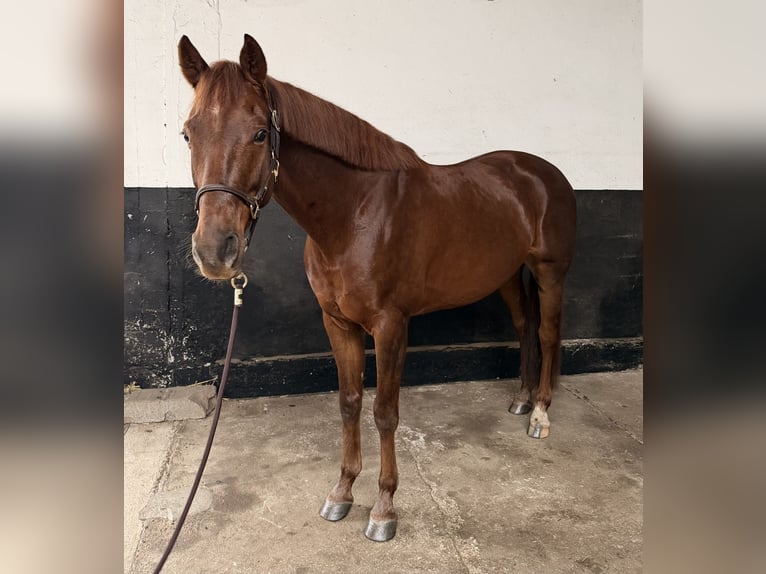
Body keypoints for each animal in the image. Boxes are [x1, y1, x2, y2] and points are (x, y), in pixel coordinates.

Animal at [178, 34, 576, 542]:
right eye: (188, 134)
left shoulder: (390, 326)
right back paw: (522, 400)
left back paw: (541, 413)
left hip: (550, 272)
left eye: (260, 134)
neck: (354, 216)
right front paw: (342, 492)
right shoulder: (337, 322)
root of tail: (543, 173)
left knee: (547, 333)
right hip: (506, 274)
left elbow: (385, 412)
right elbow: (349, 403)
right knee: (525, 327)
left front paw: (384, 508)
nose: (214, 250)